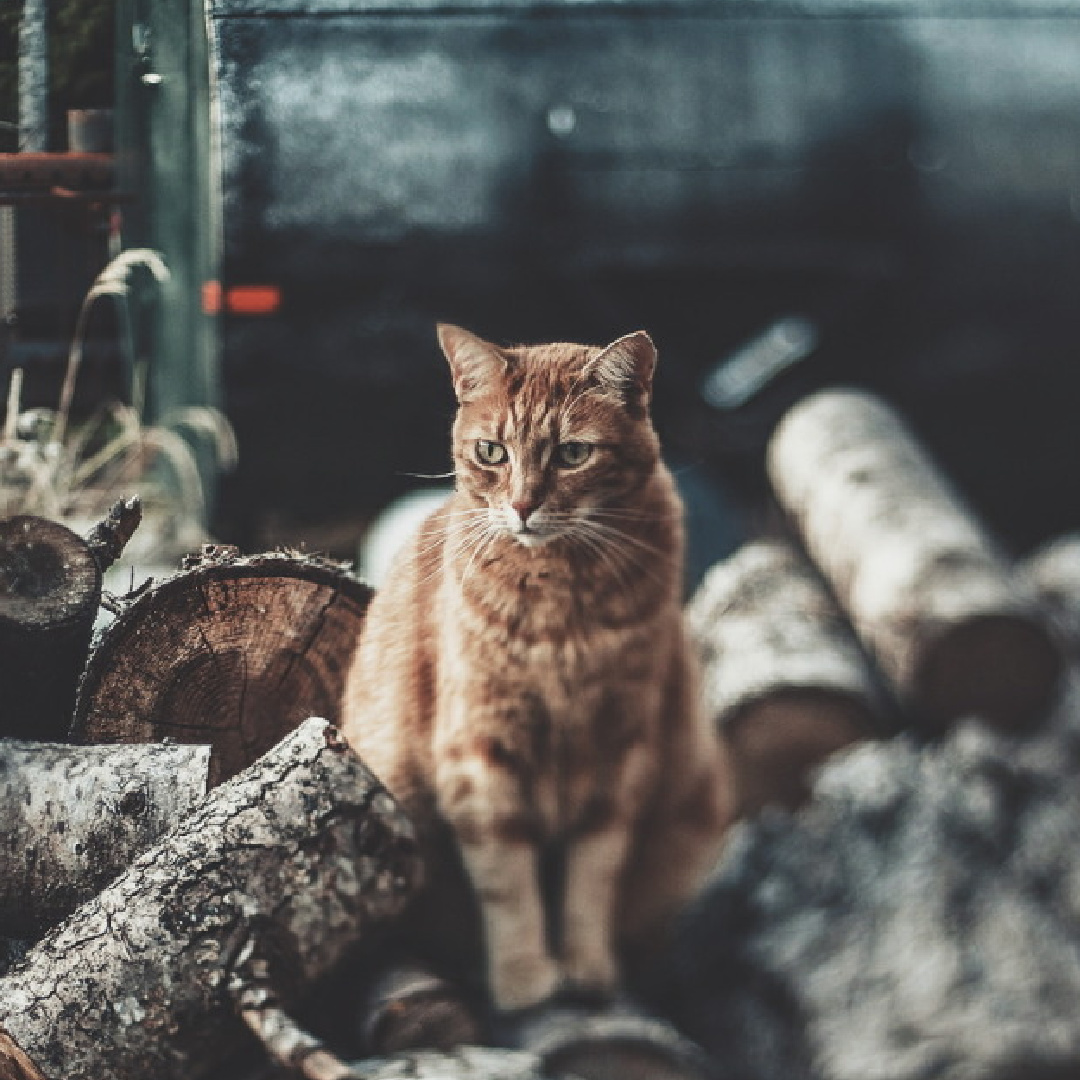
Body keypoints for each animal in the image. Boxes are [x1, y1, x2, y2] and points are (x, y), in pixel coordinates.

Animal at [343, 321, 734, 1010]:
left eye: (573, 454)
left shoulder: (620, 755)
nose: (523, 506)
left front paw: (586, 969)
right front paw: (524, 978)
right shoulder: (480, 754)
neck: (562, 611)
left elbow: (590, 879)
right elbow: (509, 885)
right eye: (491, 452)